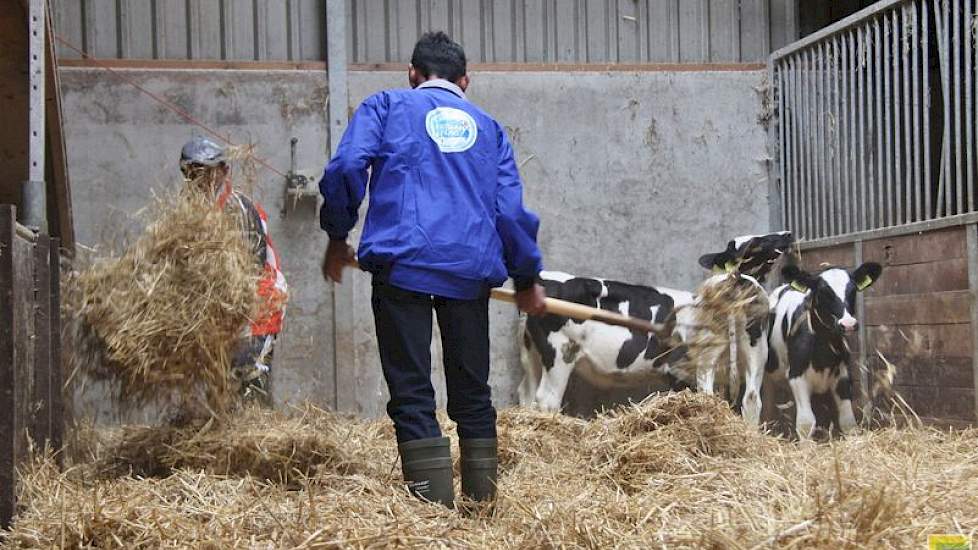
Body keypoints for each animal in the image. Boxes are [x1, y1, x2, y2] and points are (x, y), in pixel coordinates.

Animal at [768, 264, 880, 440]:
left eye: (853, 290)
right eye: (822, 292)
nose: (848, 324)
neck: (823, 355)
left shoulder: (843, 375)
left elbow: (848, 421)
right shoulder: (796, 375)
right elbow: (806, 423)